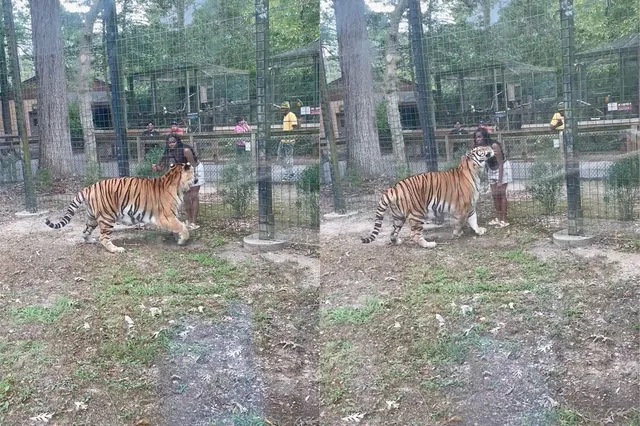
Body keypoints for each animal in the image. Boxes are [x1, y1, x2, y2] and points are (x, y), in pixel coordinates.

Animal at [44, 162, 195, 253]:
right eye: (193, 172)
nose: (197, 178)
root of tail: (89, 187)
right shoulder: (166, 216)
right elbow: (182, 226)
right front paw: (183, 240)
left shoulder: (171, 217)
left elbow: (178, 226)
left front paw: (178, 238)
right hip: (107, 217)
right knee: (103, 238)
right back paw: (116, 249)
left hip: (92, 217)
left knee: (86, 231)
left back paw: (90, 241)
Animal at [360, 146, 496, 250]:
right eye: (480, 149)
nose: (490, 146)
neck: (475, 172)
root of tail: (393, 188)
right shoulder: (463, 207)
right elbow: (461, 222)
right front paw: (457, 233)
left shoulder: (471, 206)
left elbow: (473, 219)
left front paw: (478, 230)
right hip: (417, 214)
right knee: (414, 234)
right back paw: (429, 244)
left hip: (398, 216)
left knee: (393, 232)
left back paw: (397, 241)